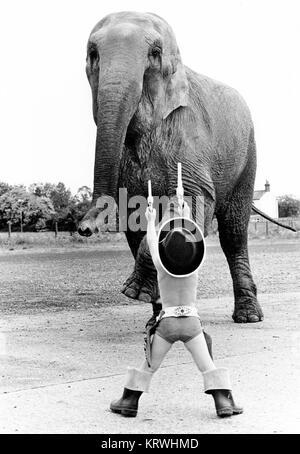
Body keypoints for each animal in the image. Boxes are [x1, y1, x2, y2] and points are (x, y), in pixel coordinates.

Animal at [78, 10, 264, 322]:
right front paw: (151, 309)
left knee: (234, 234)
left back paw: (248, 317)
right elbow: (136, 216)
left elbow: (191, 203)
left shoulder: (190, 141)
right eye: (93, 55)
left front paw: (132, 293)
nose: (84, 228)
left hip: (248, 157)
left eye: (155, 53)